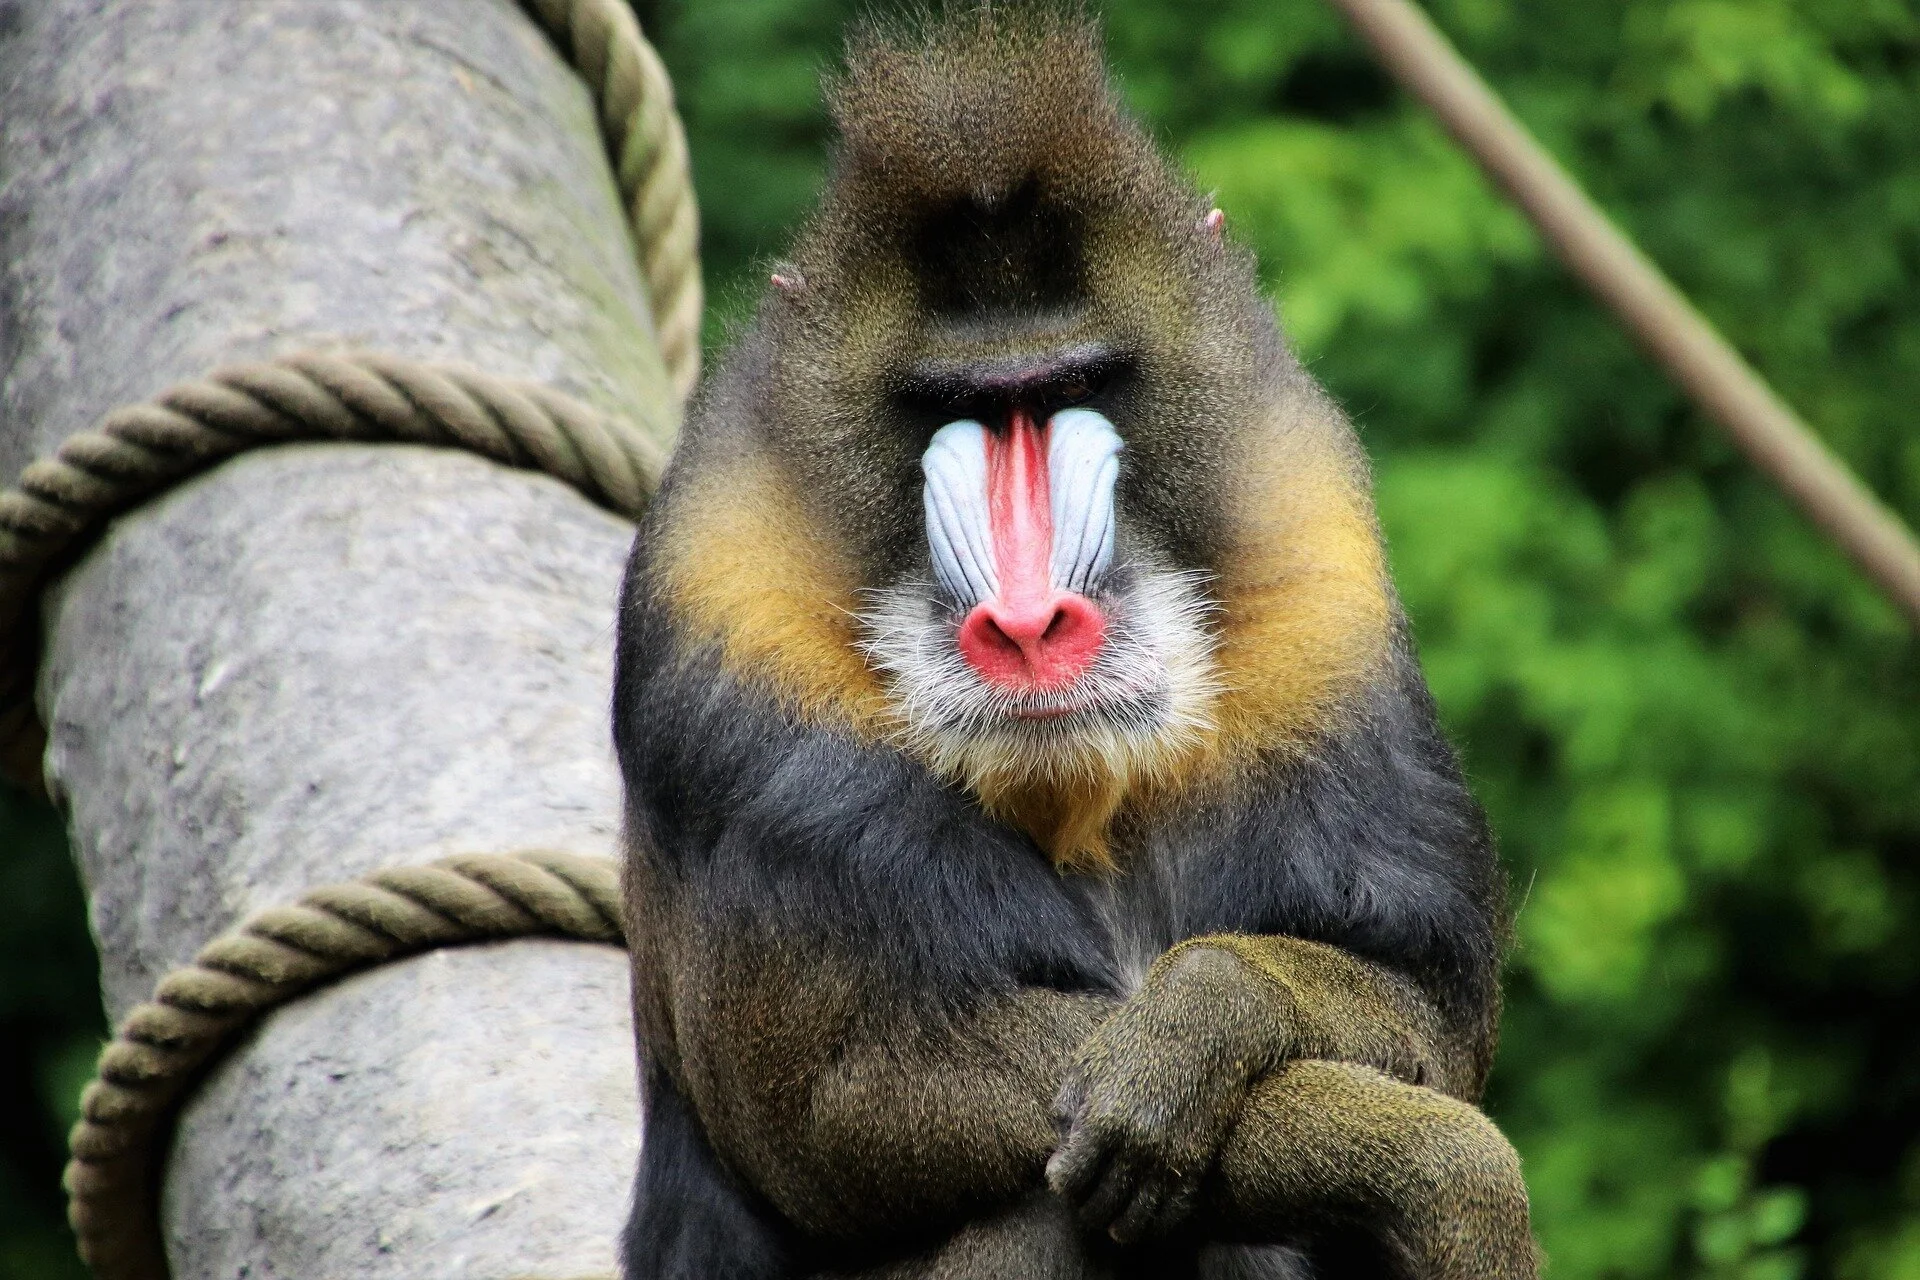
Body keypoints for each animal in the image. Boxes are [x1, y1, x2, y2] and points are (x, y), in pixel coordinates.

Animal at [612, 10, 1533, 1280]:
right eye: (950, 407)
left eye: (1073, 387)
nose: (1030, 626)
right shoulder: (731, 648)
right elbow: (860, 1093)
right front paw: (1420, 1161)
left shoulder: (1320, 601)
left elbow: (1425, 1000)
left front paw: (1201, 1017)